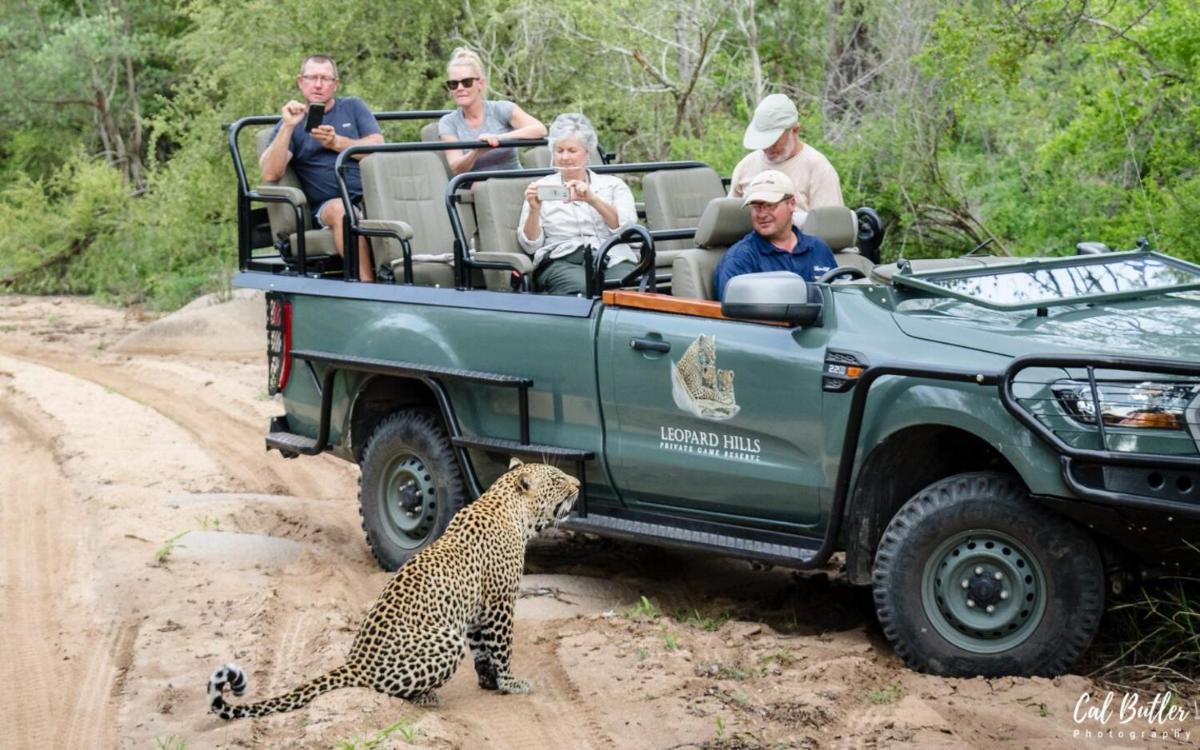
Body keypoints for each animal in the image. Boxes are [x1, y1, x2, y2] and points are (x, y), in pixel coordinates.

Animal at [207, 458, 580, 720]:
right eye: (558, 479)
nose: (578, 483)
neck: (509, 509)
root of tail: (356, 663)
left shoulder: (476, 609)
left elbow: (483, 650)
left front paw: (489, 682)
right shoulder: (500, 602)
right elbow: (501, 648)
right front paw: (510, 682)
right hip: (447, 641)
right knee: (391, 690)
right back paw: (427, 697)